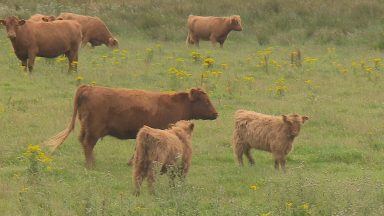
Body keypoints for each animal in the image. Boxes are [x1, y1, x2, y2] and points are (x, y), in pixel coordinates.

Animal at [43, 85, 218, 168]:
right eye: (206, 101)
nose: (216, 113)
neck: (175, 104)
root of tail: (89, 87)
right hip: (94, 130)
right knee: (88, 144)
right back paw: (91, 164)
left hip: (86, 128)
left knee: (83, 141)